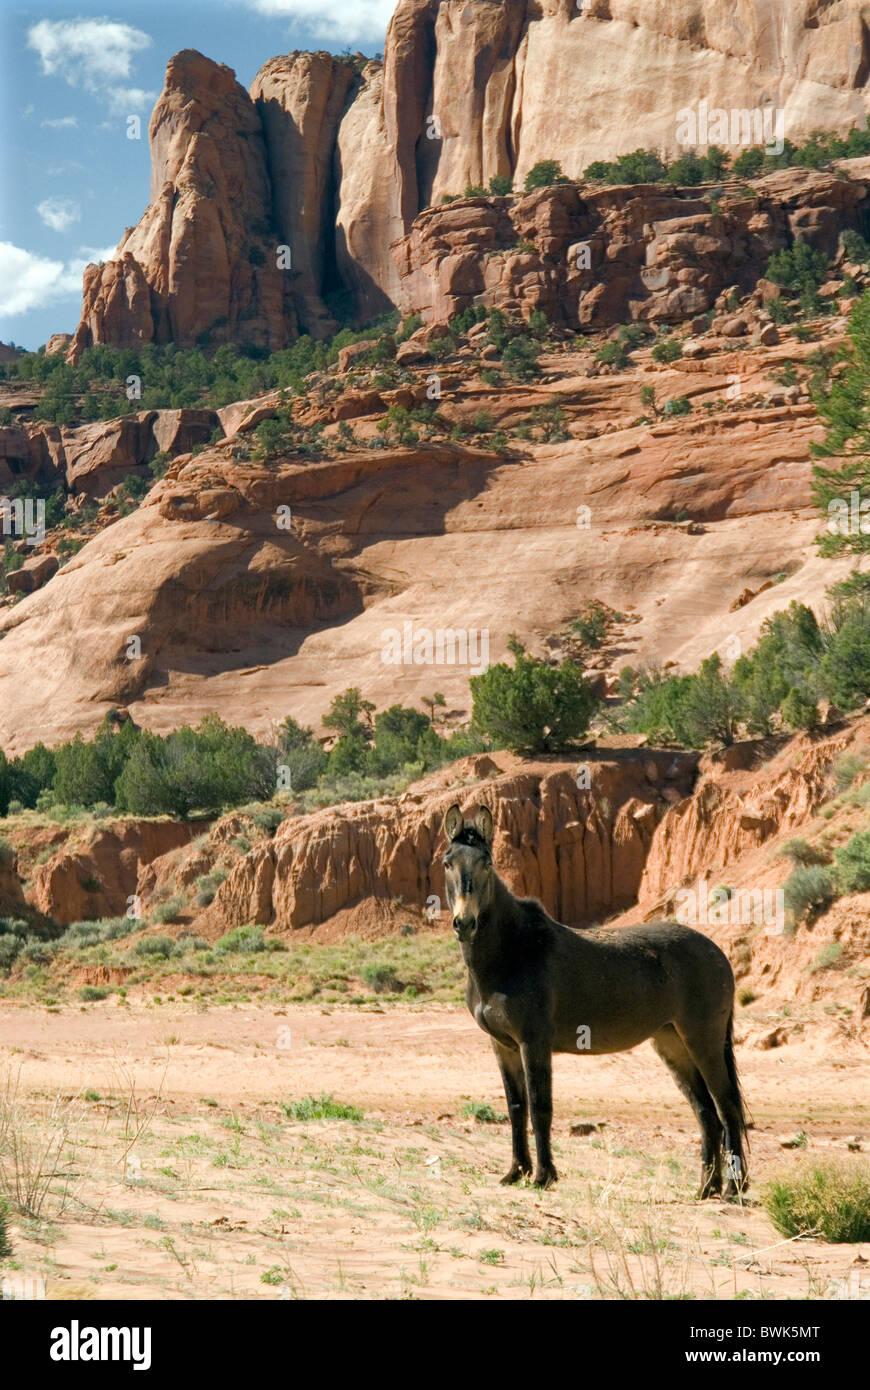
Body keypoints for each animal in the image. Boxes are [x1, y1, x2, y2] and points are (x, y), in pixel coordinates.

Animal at [439, 806, 744, 1195]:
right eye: (448, 862)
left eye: (487, 862)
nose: (465, 923)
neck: (512, 950)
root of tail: (717, 952)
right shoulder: (503, 1046)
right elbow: (516, 1106)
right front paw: (515, 1172)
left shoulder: (533, 1042)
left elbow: (540, 1106)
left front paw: (543, 1175)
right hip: (672, 1044)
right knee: (706, 1114)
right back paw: (706, 1189)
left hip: (703, 1041)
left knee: (727, 1108)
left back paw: (734, 1188)